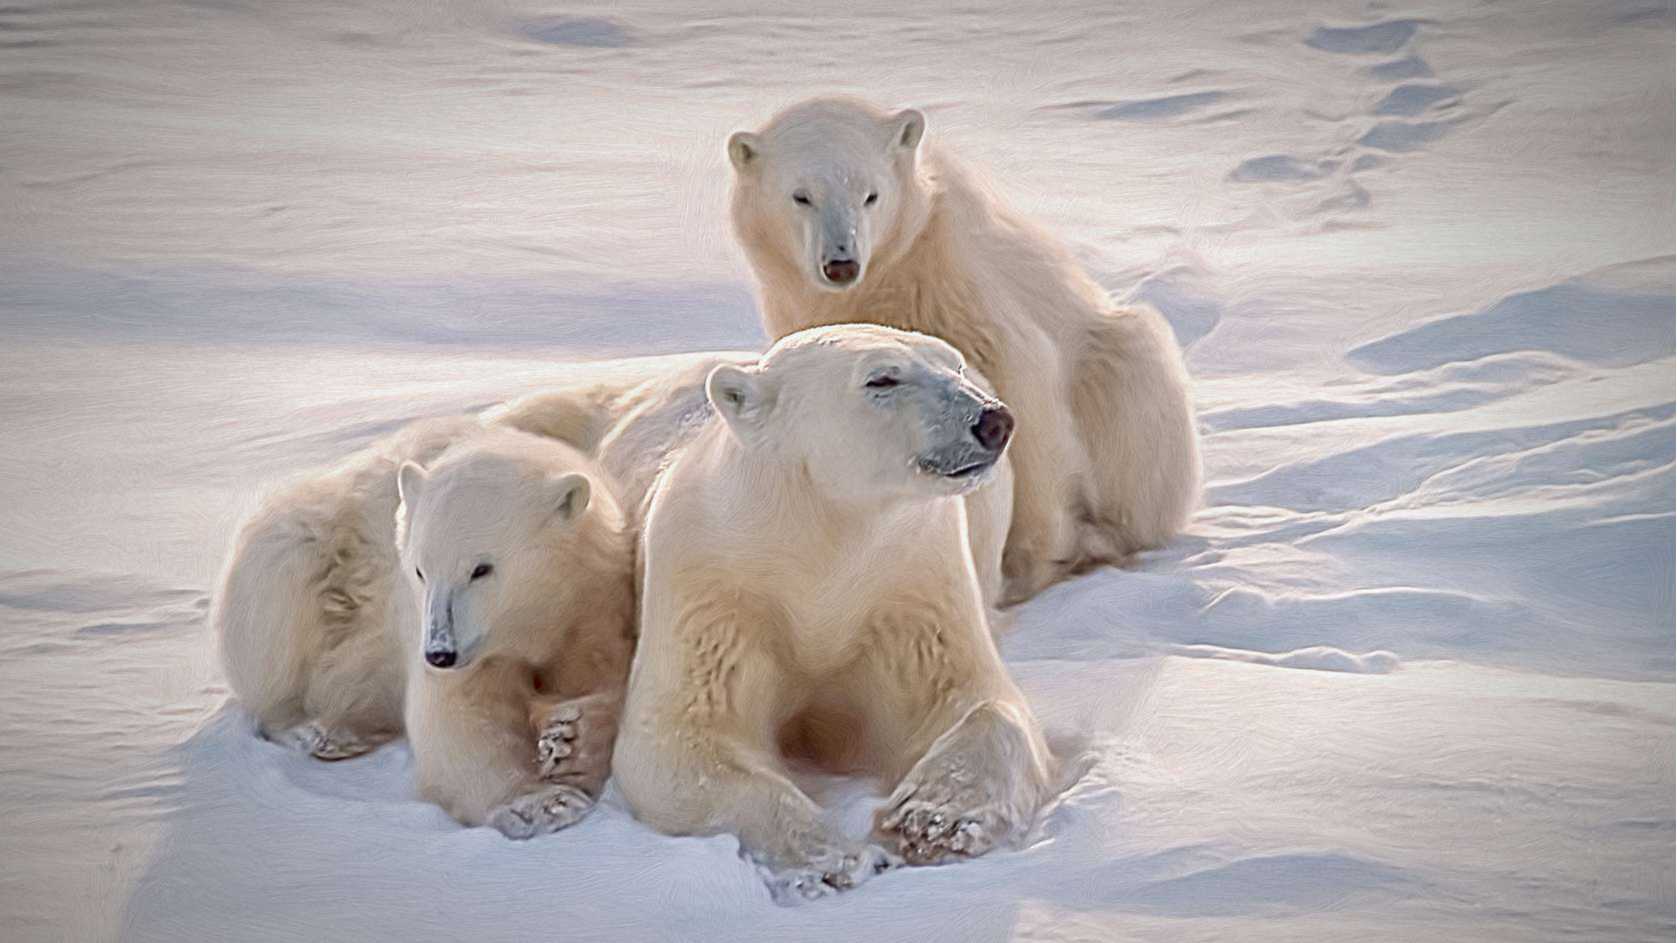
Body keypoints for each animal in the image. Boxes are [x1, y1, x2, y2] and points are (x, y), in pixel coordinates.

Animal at [209, 422, 630, 832]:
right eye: (419, 570)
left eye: (481, 568)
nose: (440, 653)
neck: (534, 623)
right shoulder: (446, 637)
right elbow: (458, 715)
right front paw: (542, 805)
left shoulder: (593, 607)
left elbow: (605, 680)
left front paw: (569, 742)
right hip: (303, 554)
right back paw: (321, 733)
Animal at [597, 327, 1053, 899]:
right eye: (882, 378)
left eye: (956, 365)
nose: (993, 420)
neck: (821, 539)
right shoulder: (715, 584)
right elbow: (681, 737)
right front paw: (833, 858)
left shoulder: (911, 581)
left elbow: (976, 701)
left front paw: (934, 819)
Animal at [727, 95, 1200, 600]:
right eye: (801, 196)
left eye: (870, 195)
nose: (841, 263)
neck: (885, 279)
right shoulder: (804, 310)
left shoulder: (956, 280)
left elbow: (1022, 385)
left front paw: (1030, 560)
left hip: (1119, 372)